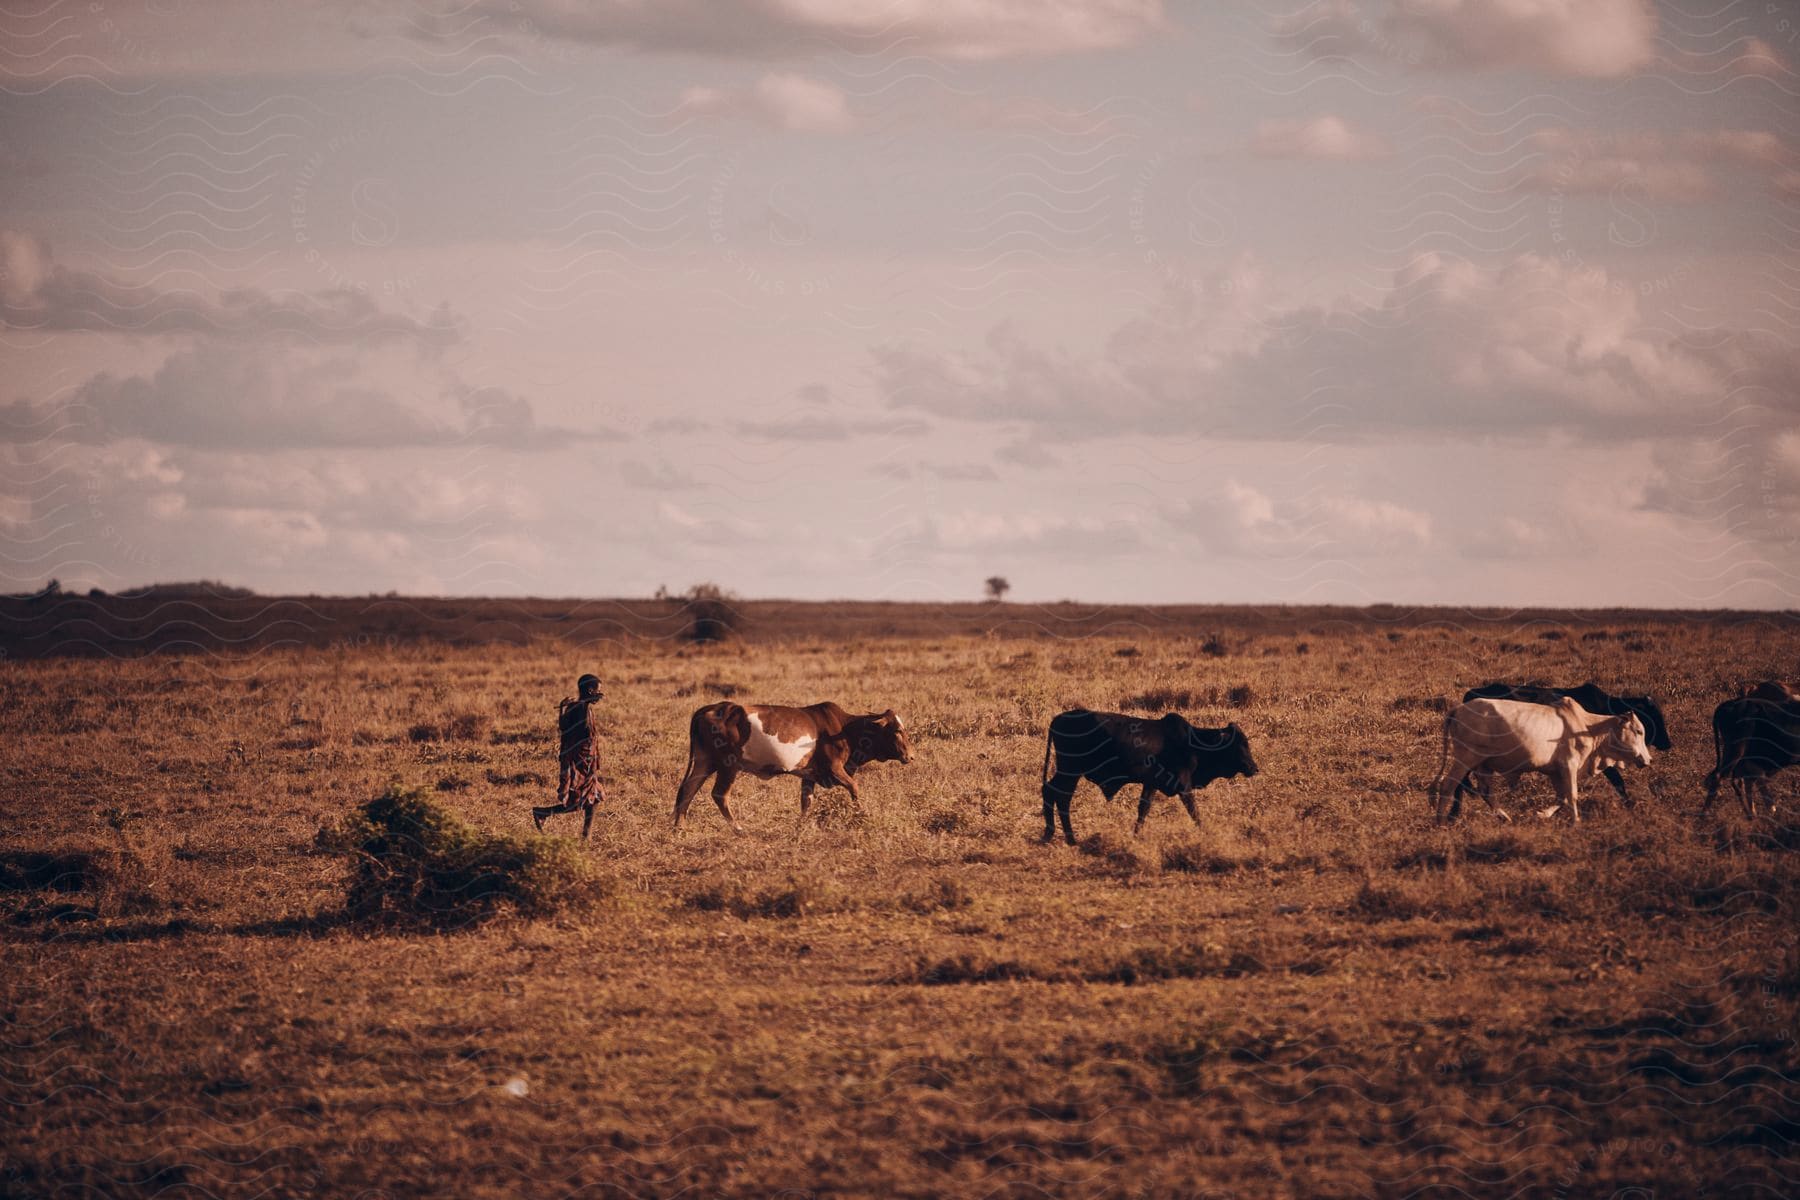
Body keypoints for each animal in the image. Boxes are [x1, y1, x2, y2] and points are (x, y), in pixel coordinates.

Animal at [673, 698, 914, 831]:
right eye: (896, 731)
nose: (911, 756)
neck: (845, 730)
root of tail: (711, 708)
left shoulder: (809, 776)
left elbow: (806, 802)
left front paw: (799, 827)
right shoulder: (835, 768)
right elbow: (854, 788)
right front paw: (861, 815)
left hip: (704, 761)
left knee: (688, 789)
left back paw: (679, 827)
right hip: (728, 765)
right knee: (719, 795)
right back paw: (738, 829)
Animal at [1044, 708, 1252, 849]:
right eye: (1240, 744)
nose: (1254, 768)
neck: (1193, 744)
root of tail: (1057, 719)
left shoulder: (1151, 784)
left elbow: (1143, 810)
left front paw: (1135, 836)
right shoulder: (1184, 786)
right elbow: (1194, 812)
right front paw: (1206, 833)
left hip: (1068, 772)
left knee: (1049, 790)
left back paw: (1051, 834)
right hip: (1070, 771)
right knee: (1060, 796)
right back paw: (1068, 838)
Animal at [1425, 694, 1648, 827]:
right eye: (1638, 731)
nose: (1647, 759)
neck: (1588, 727)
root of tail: (1458, 709)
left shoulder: (1555, 771)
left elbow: (1562, 798)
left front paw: (1542, 814)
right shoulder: (1569, 765)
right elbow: (1573, 795)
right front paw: (1575, 821)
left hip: (1483, 764)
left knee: (1486, 791)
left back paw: (1504, 817)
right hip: (1466, 757)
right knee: (1448, 786)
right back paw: (1441, 823)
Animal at [1699, 690, 1800, 820]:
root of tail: (1730, 704)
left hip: (1736, 753)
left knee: (1735, 779)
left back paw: (1751, 813)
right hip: (1736, 750)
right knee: (1722, 777)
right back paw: (1704, 815)